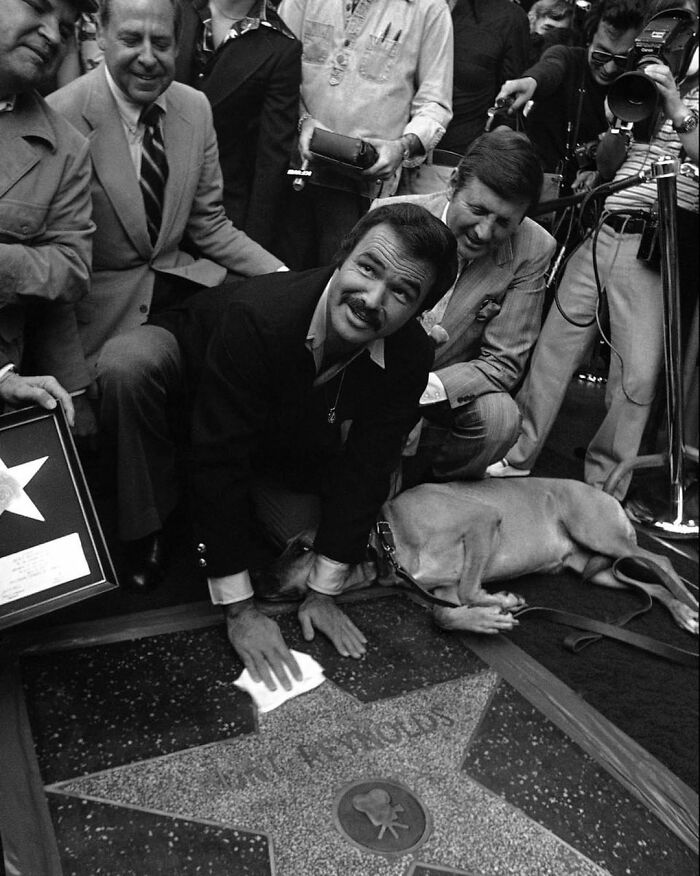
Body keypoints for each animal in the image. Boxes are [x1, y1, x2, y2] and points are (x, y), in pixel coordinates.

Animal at [260, 480, 696, 636]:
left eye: (302, 548)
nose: (262, 583)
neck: (390, 534)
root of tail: (607, 492)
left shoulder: (482, 521)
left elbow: (472, 588)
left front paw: (498, 601)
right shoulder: (441, 589)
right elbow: (444, 614)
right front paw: (485, 619)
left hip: (601, 535)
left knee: (662, 562)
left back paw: (689, 600)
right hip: (595, 570)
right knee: (649, 586)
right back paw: (683, 613)